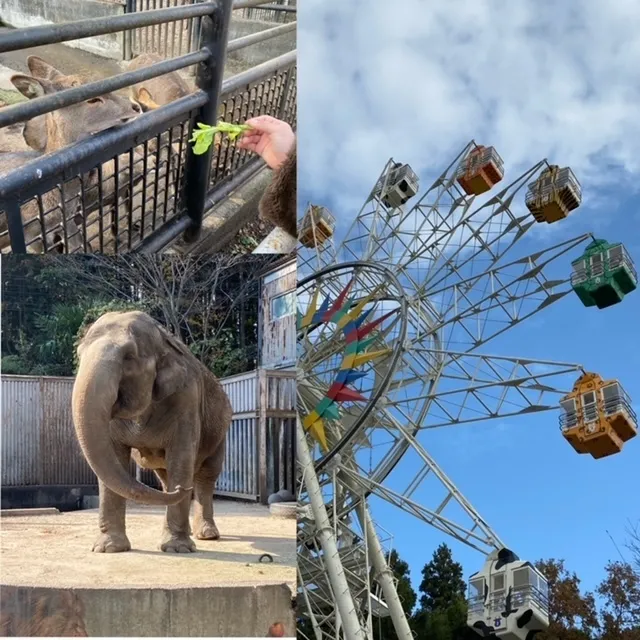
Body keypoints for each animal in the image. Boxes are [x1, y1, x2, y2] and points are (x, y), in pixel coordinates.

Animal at [72, 308, 232, 552]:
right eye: (80, 354)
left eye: (129, 357)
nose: (182, 489)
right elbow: (114, 457)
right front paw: (108, 548)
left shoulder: (187, 399)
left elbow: (181, 457)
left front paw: (177, 548)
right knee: (166, 479)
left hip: (220, 432)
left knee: (205, 475)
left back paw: (206, 534)